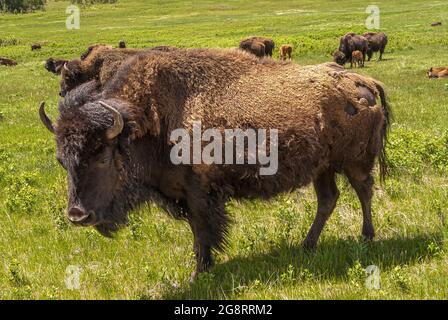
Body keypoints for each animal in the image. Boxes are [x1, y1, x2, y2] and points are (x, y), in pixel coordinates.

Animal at [40, 48, 390, 280]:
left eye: (101, 154)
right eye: (62, 160)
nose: (77, 214)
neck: (149, 119)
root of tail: (365, 81)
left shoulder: (200, 195)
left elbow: (203, 232)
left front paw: (199, 272)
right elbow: (199, 231)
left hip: (355, 162)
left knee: (364, 191)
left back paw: (366, 237)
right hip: (323, 168)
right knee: (328, 199)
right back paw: (306, 245)